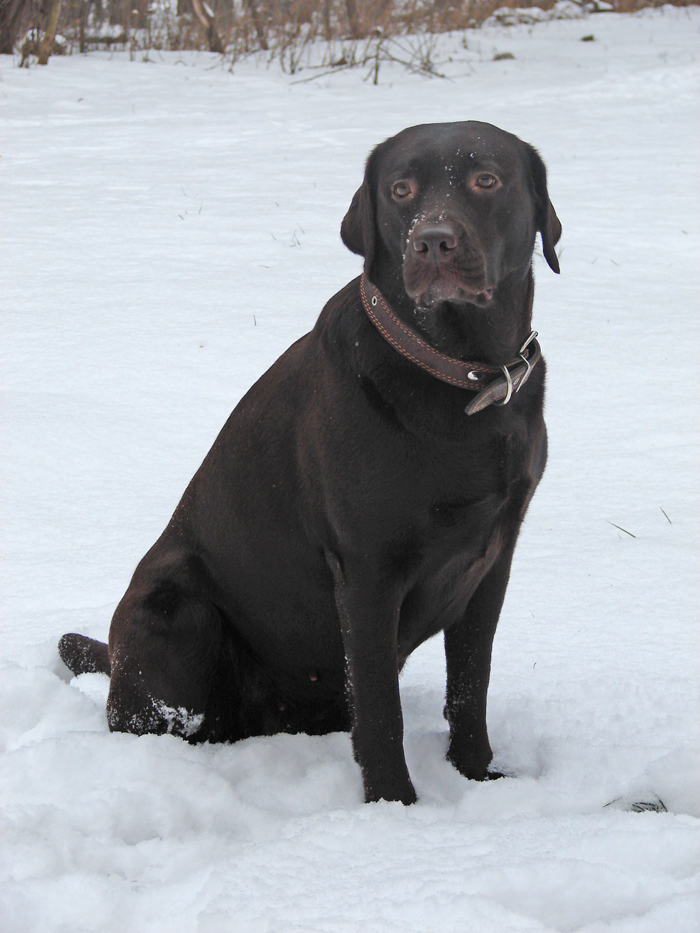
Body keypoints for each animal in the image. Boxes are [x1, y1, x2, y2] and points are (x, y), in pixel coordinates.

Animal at [60, 120, 564, 800]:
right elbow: (381, 710)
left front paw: (477, 776)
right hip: (175, 609)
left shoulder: (492, 561)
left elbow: (469, 687)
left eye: (486, 178)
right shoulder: (366, 570)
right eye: (401, 189)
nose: (432, 241)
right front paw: (395, 807)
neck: (459, 374)